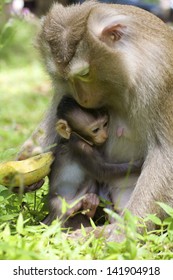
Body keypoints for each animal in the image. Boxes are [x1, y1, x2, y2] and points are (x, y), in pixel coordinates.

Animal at [43, 96, 141, 225]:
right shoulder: (82, 148)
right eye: (95, 130)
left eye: (105, 124)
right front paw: (139, 163)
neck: (77, 137)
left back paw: (90, 206)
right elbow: (102, 172)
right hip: (58, 203)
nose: (104, 136)